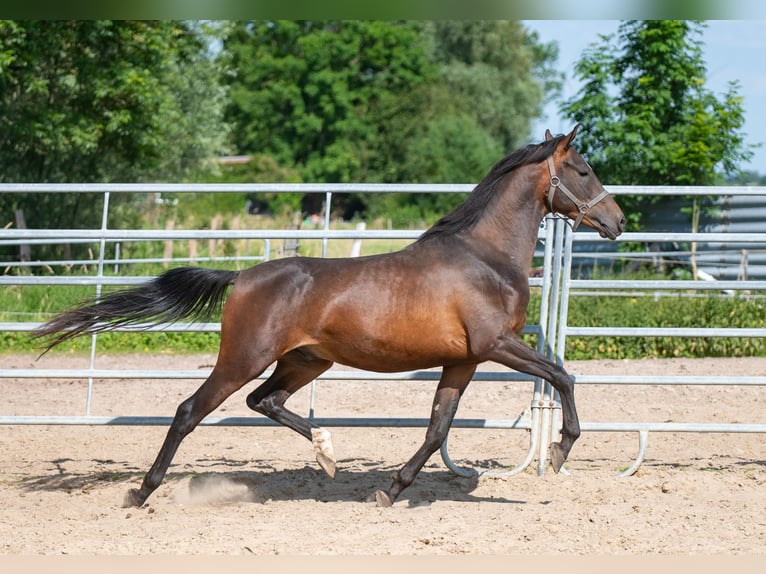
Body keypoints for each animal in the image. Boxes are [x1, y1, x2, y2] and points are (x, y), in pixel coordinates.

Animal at [33, 127, 628, 508]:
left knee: (264, 402)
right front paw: (560, 450)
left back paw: (326, 453)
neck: (485, 257)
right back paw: (142, 492)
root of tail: (241, 276)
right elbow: (563, 376)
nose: (617, 221)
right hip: (244, 358)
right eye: (583, 169)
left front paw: (389, 491)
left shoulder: (464, 360)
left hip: (305, 361)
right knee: (189, 411)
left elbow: (438, 428)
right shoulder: (496, 344)